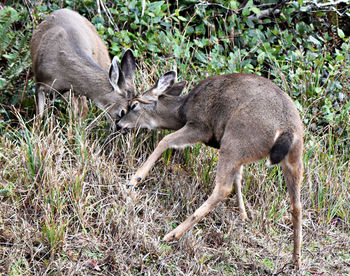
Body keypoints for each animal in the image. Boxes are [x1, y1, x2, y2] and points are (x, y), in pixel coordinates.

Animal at [117, 71, 304, 270]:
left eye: (133, 105)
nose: (119, 123)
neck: (182, 110)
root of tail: (288, 130)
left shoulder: (201, 126)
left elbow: (165, 140)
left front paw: (135, 179)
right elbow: (239, 178)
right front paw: (244, 215)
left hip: (235, 139)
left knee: (222, 189)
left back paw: (172, 234)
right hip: (291, 160)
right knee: (297, 205)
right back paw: (296, 260)